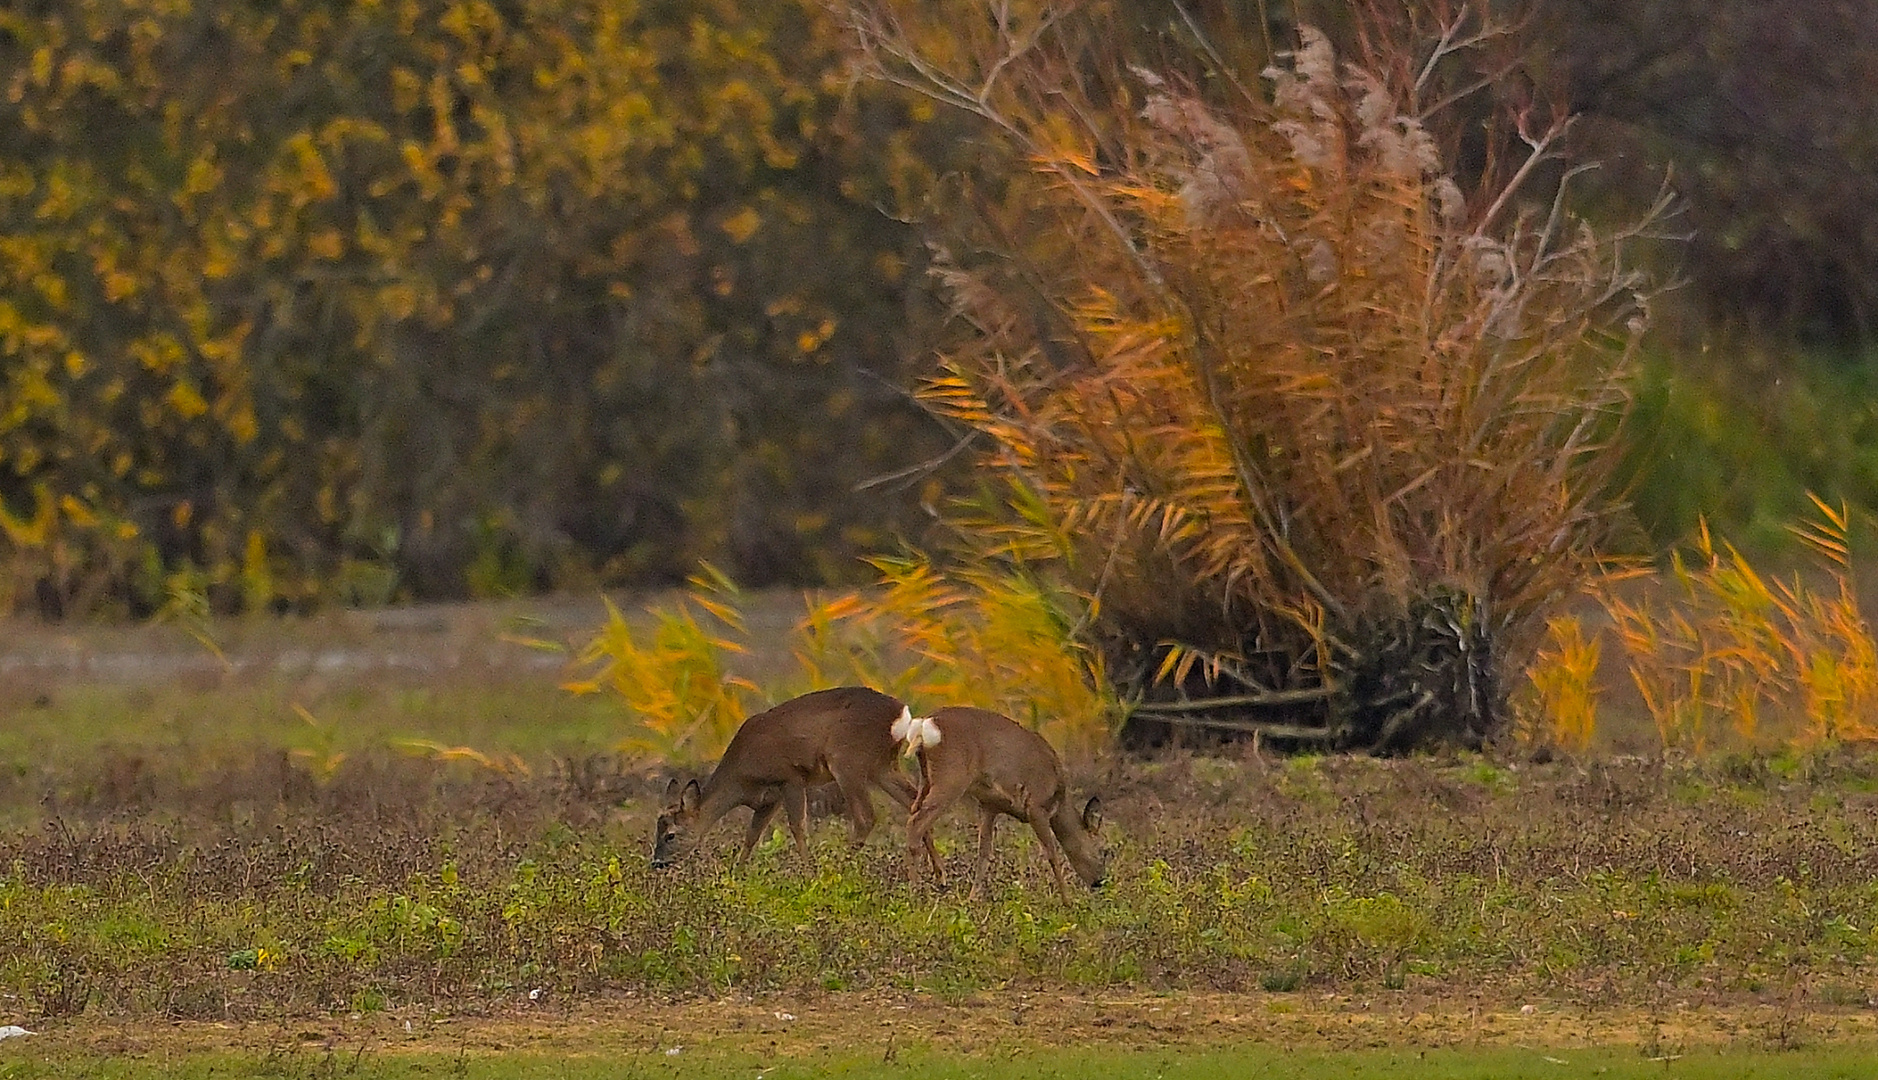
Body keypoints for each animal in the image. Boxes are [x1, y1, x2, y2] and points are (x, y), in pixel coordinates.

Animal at [653, 687, 939, 875]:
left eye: (670, 835)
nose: (656, 863)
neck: (741, 778)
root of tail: (901, 715)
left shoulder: (789, 778)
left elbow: (797, 827)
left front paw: (809, 873)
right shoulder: (768, 799)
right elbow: (752, 835)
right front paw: (736, 874)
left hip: (847, 761)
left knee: (866, 817)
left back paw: (838, 871)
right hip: (882, 766)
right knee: (915, 805)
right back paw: (939, 876)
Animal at [897, 709, 1104, 905]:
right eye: (1102, 853)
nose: (1099, 882)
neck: (1059, 799)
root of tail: (925, 724)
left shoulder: (990, 805)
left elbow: (984, 852)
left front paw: (973, 898)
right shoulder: (1036, 806)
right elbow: (1051, 852)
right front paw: (1067, 901)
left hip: (926, 778)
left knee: (914, 812)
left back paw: (934, 881)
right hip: (952, 778)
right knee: (916, 823)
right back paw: (914, 890)